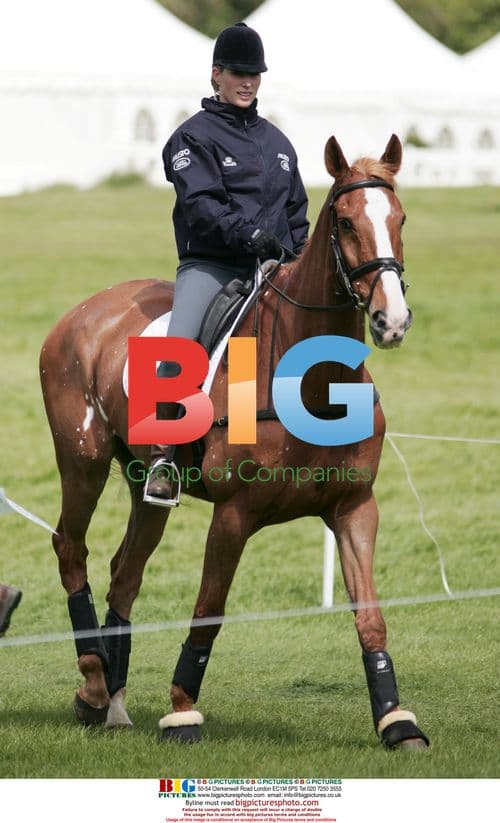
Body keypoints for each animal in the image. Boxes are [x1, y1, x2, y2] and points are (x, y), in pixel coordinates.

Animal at [40, 134, 429, 749]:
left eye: (400, 218)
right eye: (345, 222)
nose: (393, 320)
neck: (308, 379)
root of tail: (82, 313)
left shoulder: (354, 508)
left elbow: (370, 615)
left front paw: (396, 720)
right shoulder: (234, 514)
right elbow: (209, 609)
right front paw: (182, 712)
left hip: (144, 486)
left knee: (125, 573)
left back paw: (116, 702)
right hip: (83, 463)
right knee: (71, 549)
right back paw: (94, 687)